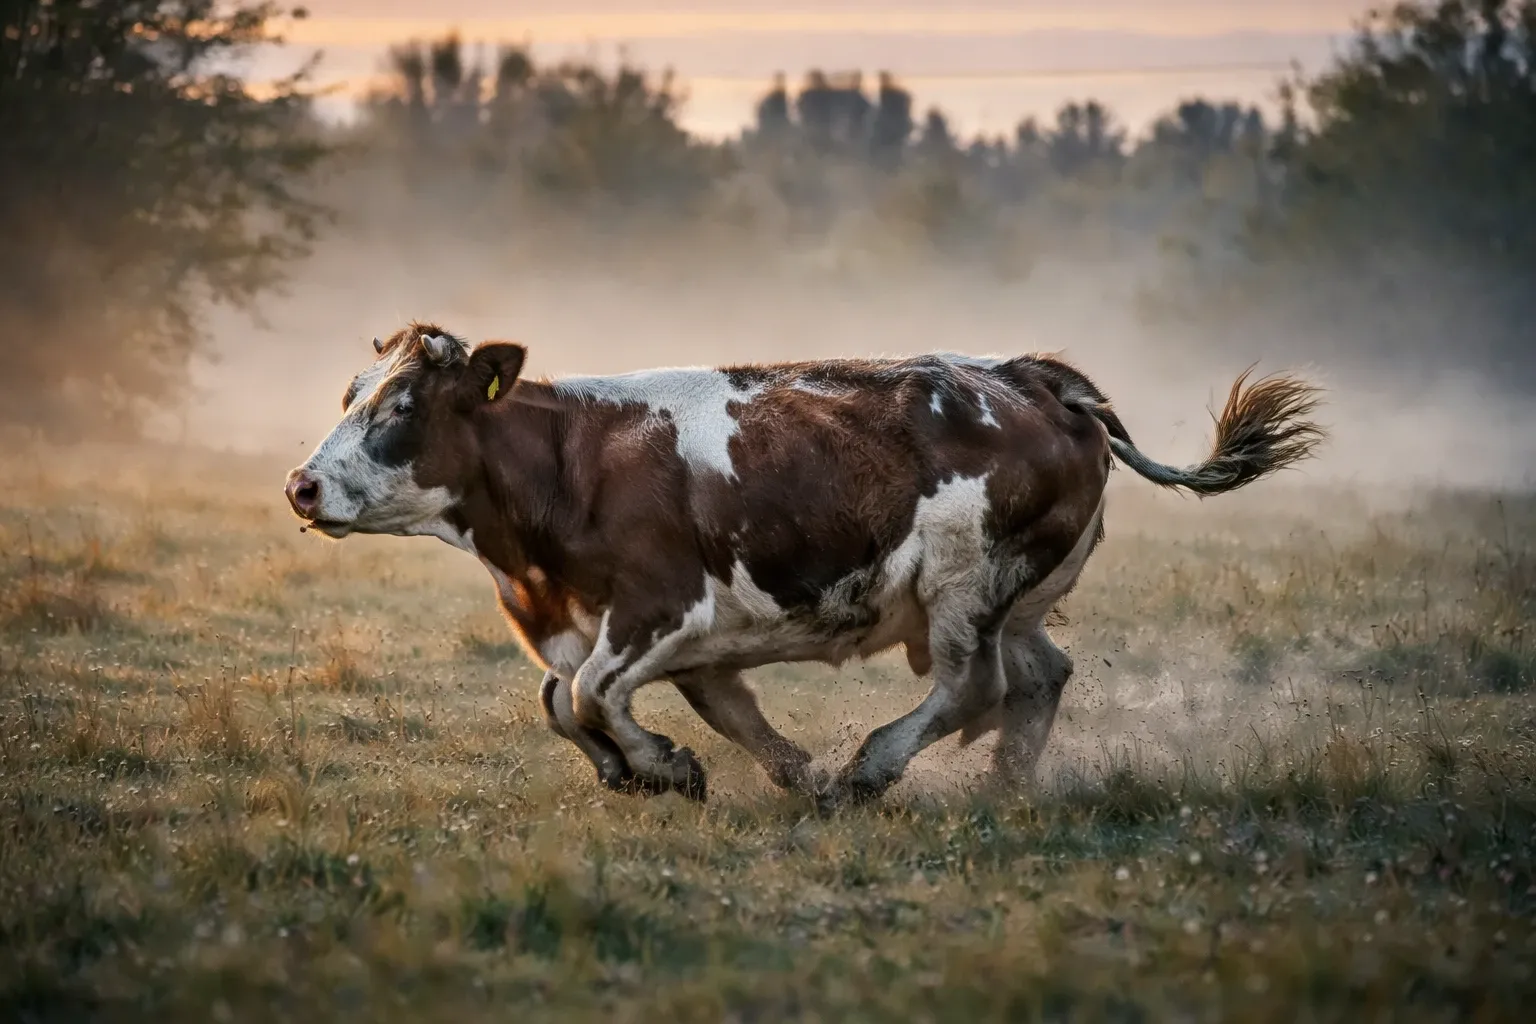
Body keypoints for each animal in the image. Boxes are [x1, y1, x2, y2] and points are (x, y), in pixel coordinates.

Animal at [284, 323, 1323, 811]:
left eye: (403, 406)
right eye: (349, 395)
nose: (301, 486)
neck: (566, 470)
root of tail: (1037, 376)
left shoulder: (662, 608)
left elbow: (586, 694)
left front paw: (662, 767)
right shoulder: (659, 638)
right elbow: (578, 702)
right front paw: (696, 769)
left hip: (964, 586)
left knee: (973, 685)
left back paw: (873, 770)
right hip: (1018, 595)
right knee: (1039, 676)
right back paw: (1000, 787)